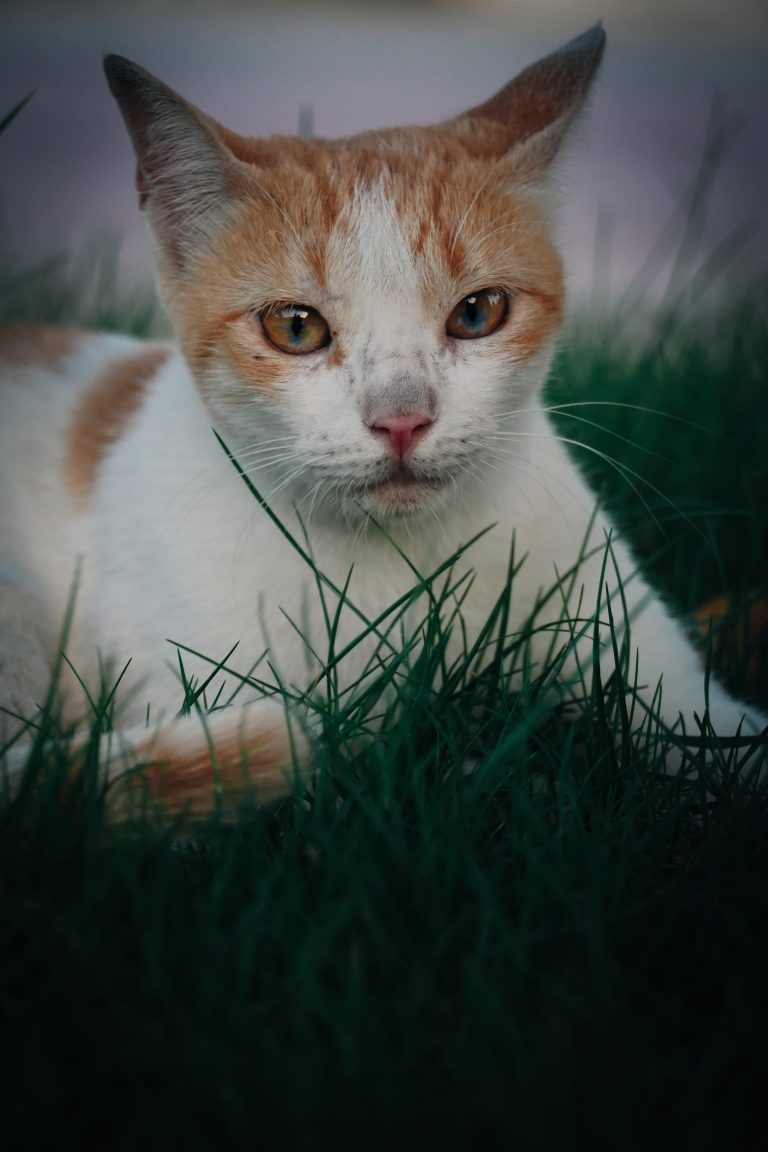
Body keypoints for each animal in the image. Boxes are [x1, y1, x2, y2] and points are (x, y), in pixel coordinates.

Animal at [0, 24, 764, 820]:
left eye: (478, 312)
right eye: (296, 327)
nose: (402, 418)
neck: (406, 568)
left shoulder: (630, 636)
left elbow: (715, 733)